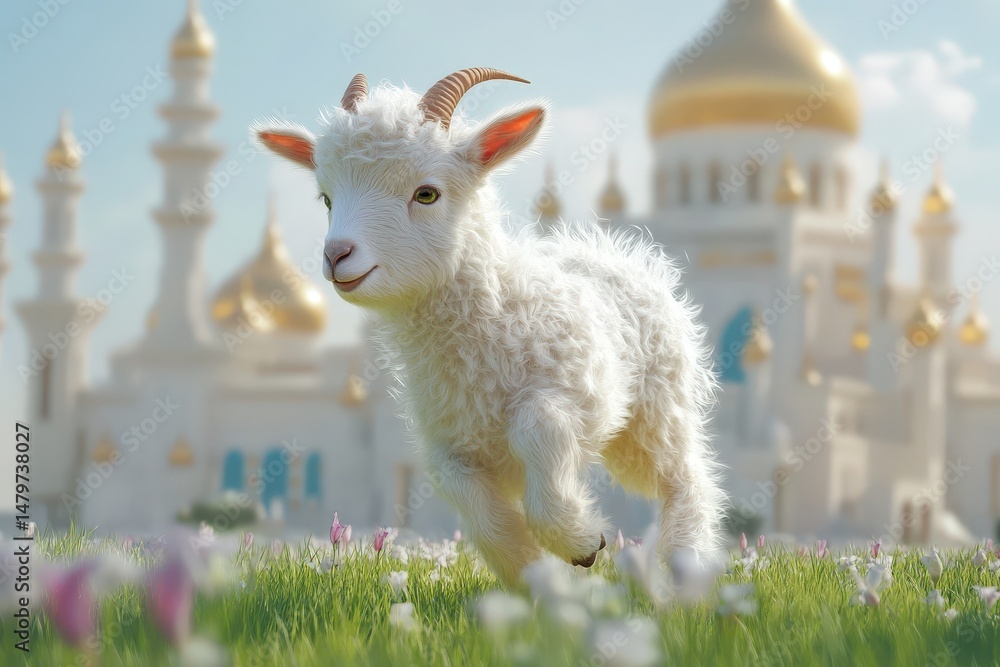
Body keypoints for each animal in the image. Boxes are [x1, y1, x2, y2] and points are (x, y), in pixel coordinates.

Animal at [255, 68, 727, 585]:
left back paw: (688, 562)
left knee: (685, 475)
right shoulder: (450, 445)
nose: (336, 255)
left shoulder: (578, 393)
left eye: (427, 193)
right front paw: (537, 575)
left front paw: (581, 541)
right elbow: (478, 512)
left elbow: (536, 428)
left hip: (655, 410)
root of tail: (614, 252)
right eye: (326, 198)